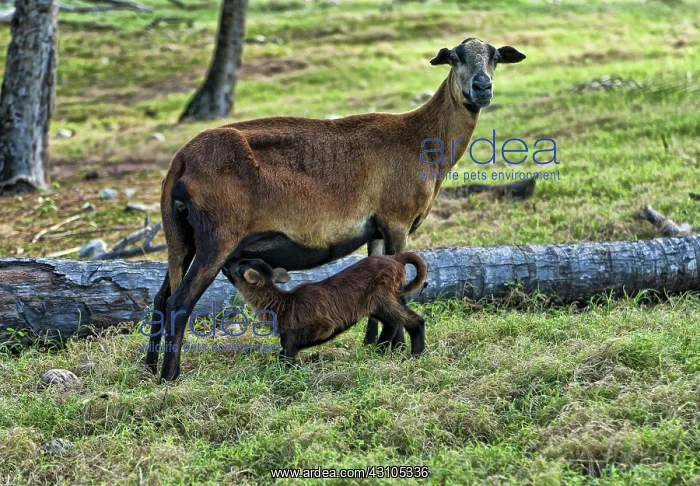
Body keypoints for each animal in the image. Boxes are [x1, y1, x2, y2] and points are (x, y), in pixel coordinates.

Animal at [221, 252, 428, 364]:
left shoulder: (324, 325)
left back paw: (416, 354)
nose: (226, 261)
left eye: (240, 267)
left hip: (383, 297)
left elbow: (290, 345)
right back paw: (379, 351)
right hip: (380, 303)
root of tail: (396, 258)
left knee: (414, 321)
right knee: (393, 323)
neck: (282, 304)